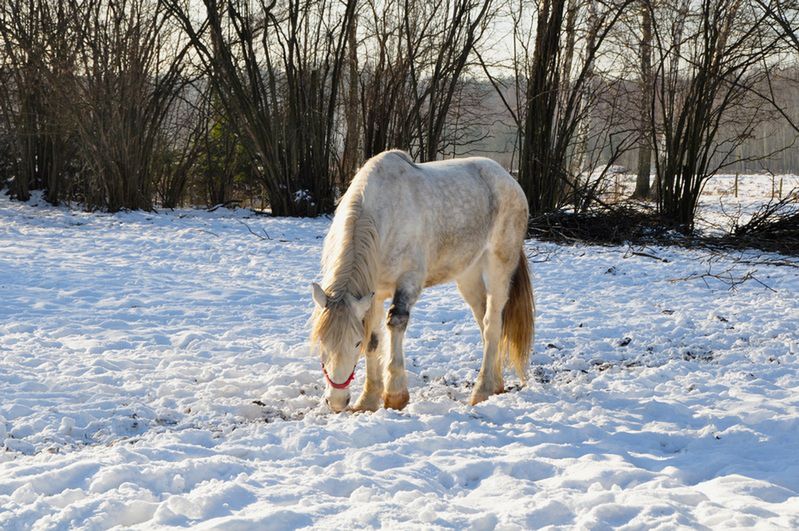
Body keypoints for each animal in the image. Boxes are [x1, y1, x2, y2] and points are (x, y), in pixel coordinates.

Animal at [310, 148, 536, 414]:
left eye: (355, 344)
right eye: (322, 344)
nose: (336, 401)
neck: (385, 215)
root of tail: (509, 179)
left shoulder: (407, 283)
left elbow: (395, 323)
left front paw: (395, 396)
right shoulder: (372, 293)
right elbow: (374, 341)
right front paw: (367, 401)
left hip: (499, 267)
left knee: (492, 324)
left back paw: (481, 391)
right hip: (468, 275)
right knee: (485, 323)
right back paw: (496, 384)